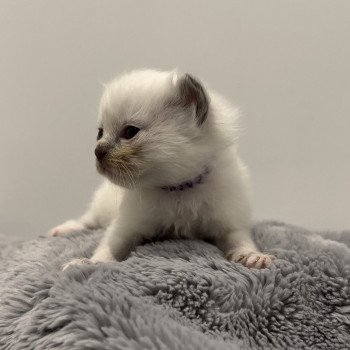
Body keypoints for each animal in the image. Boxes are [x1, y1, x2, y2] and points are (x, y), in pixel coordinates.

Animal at [50, 69, 274, 270]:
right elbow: (110, 246)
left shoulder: (230, 223)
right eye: (100, 133)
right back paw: (66, 228)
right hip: (102, 205)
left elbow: (240, 240)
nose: (98, 152)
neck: (178, 188)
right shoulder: (125, 226)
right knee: (88, 219)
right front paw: (91, 263)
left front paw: (252, 256)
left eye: (130, 132)